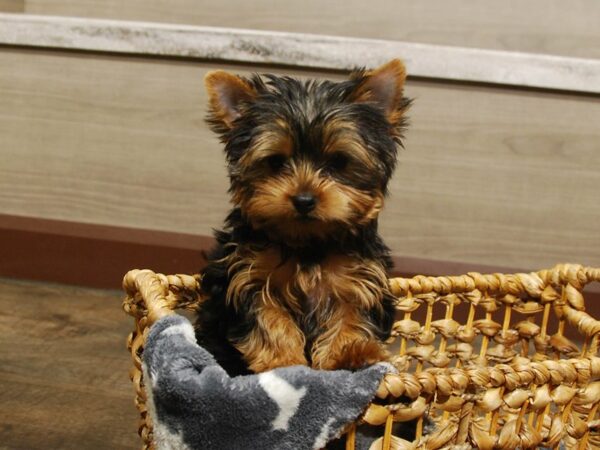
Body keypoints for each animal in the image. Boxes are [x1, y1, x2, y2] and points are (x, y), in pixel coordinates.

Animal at [195, 60, 410, 376]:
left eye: (339, 162)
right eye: (275, 162)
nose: (304, 200)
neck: (308, 241)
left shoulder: (358, 280)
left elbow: (351, 315)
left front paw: (351, 354)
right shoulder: (248, 277)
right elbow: (269, 319)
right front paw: (283, 362)